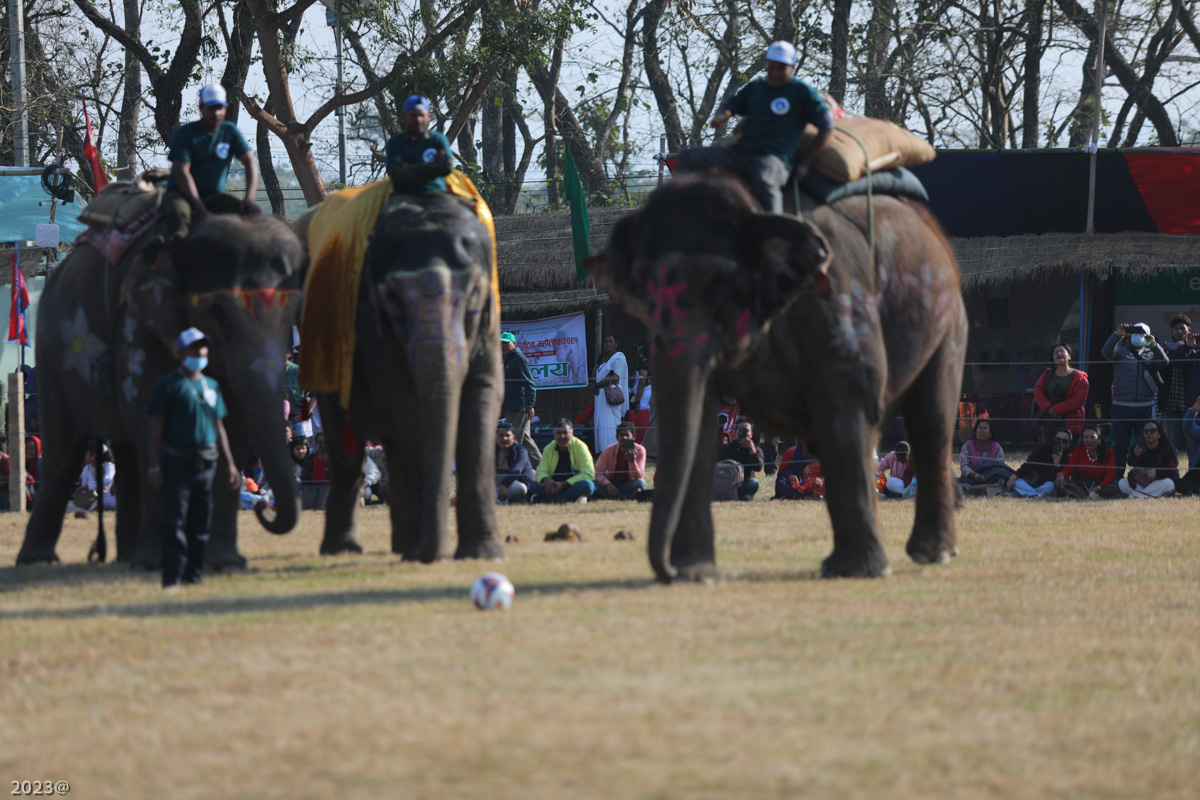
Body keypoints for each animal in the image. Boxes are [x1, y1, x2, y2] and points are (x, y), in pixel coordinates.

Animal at [17, 212, 304, 568]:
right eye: (218, 311)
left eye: (294, 310)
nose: (266, 506)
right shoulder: (137, 328)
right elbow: (155, 425)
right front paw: (166, 561)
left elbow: (233, 429)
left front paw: (225, 562)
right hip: (54, 354)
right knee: (65, 450)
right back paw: (40, 560)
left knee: (124, 453)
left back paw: (128, 558)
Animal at [300, 200, 506, 563]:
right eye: (393, 299)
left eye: (473, 293)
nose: (433, 555)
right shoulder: (373, 332)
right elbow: (408, 408)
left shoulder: (490, 316)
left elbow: (484, 394)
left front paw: (483, 554)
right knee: (348, 450)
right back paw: (348, 549)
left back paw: (401, 545)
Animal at [585, 175, 969, 585]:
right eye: (642, 288)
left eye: (723, 287)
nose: (668, 571)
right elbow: (701, 425)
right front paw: (697, 573)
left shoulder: (836, 298)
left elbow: (846, 405)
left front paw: (858, 571)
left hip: (948, 317)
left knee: (930, 424)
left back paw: (933, 553)